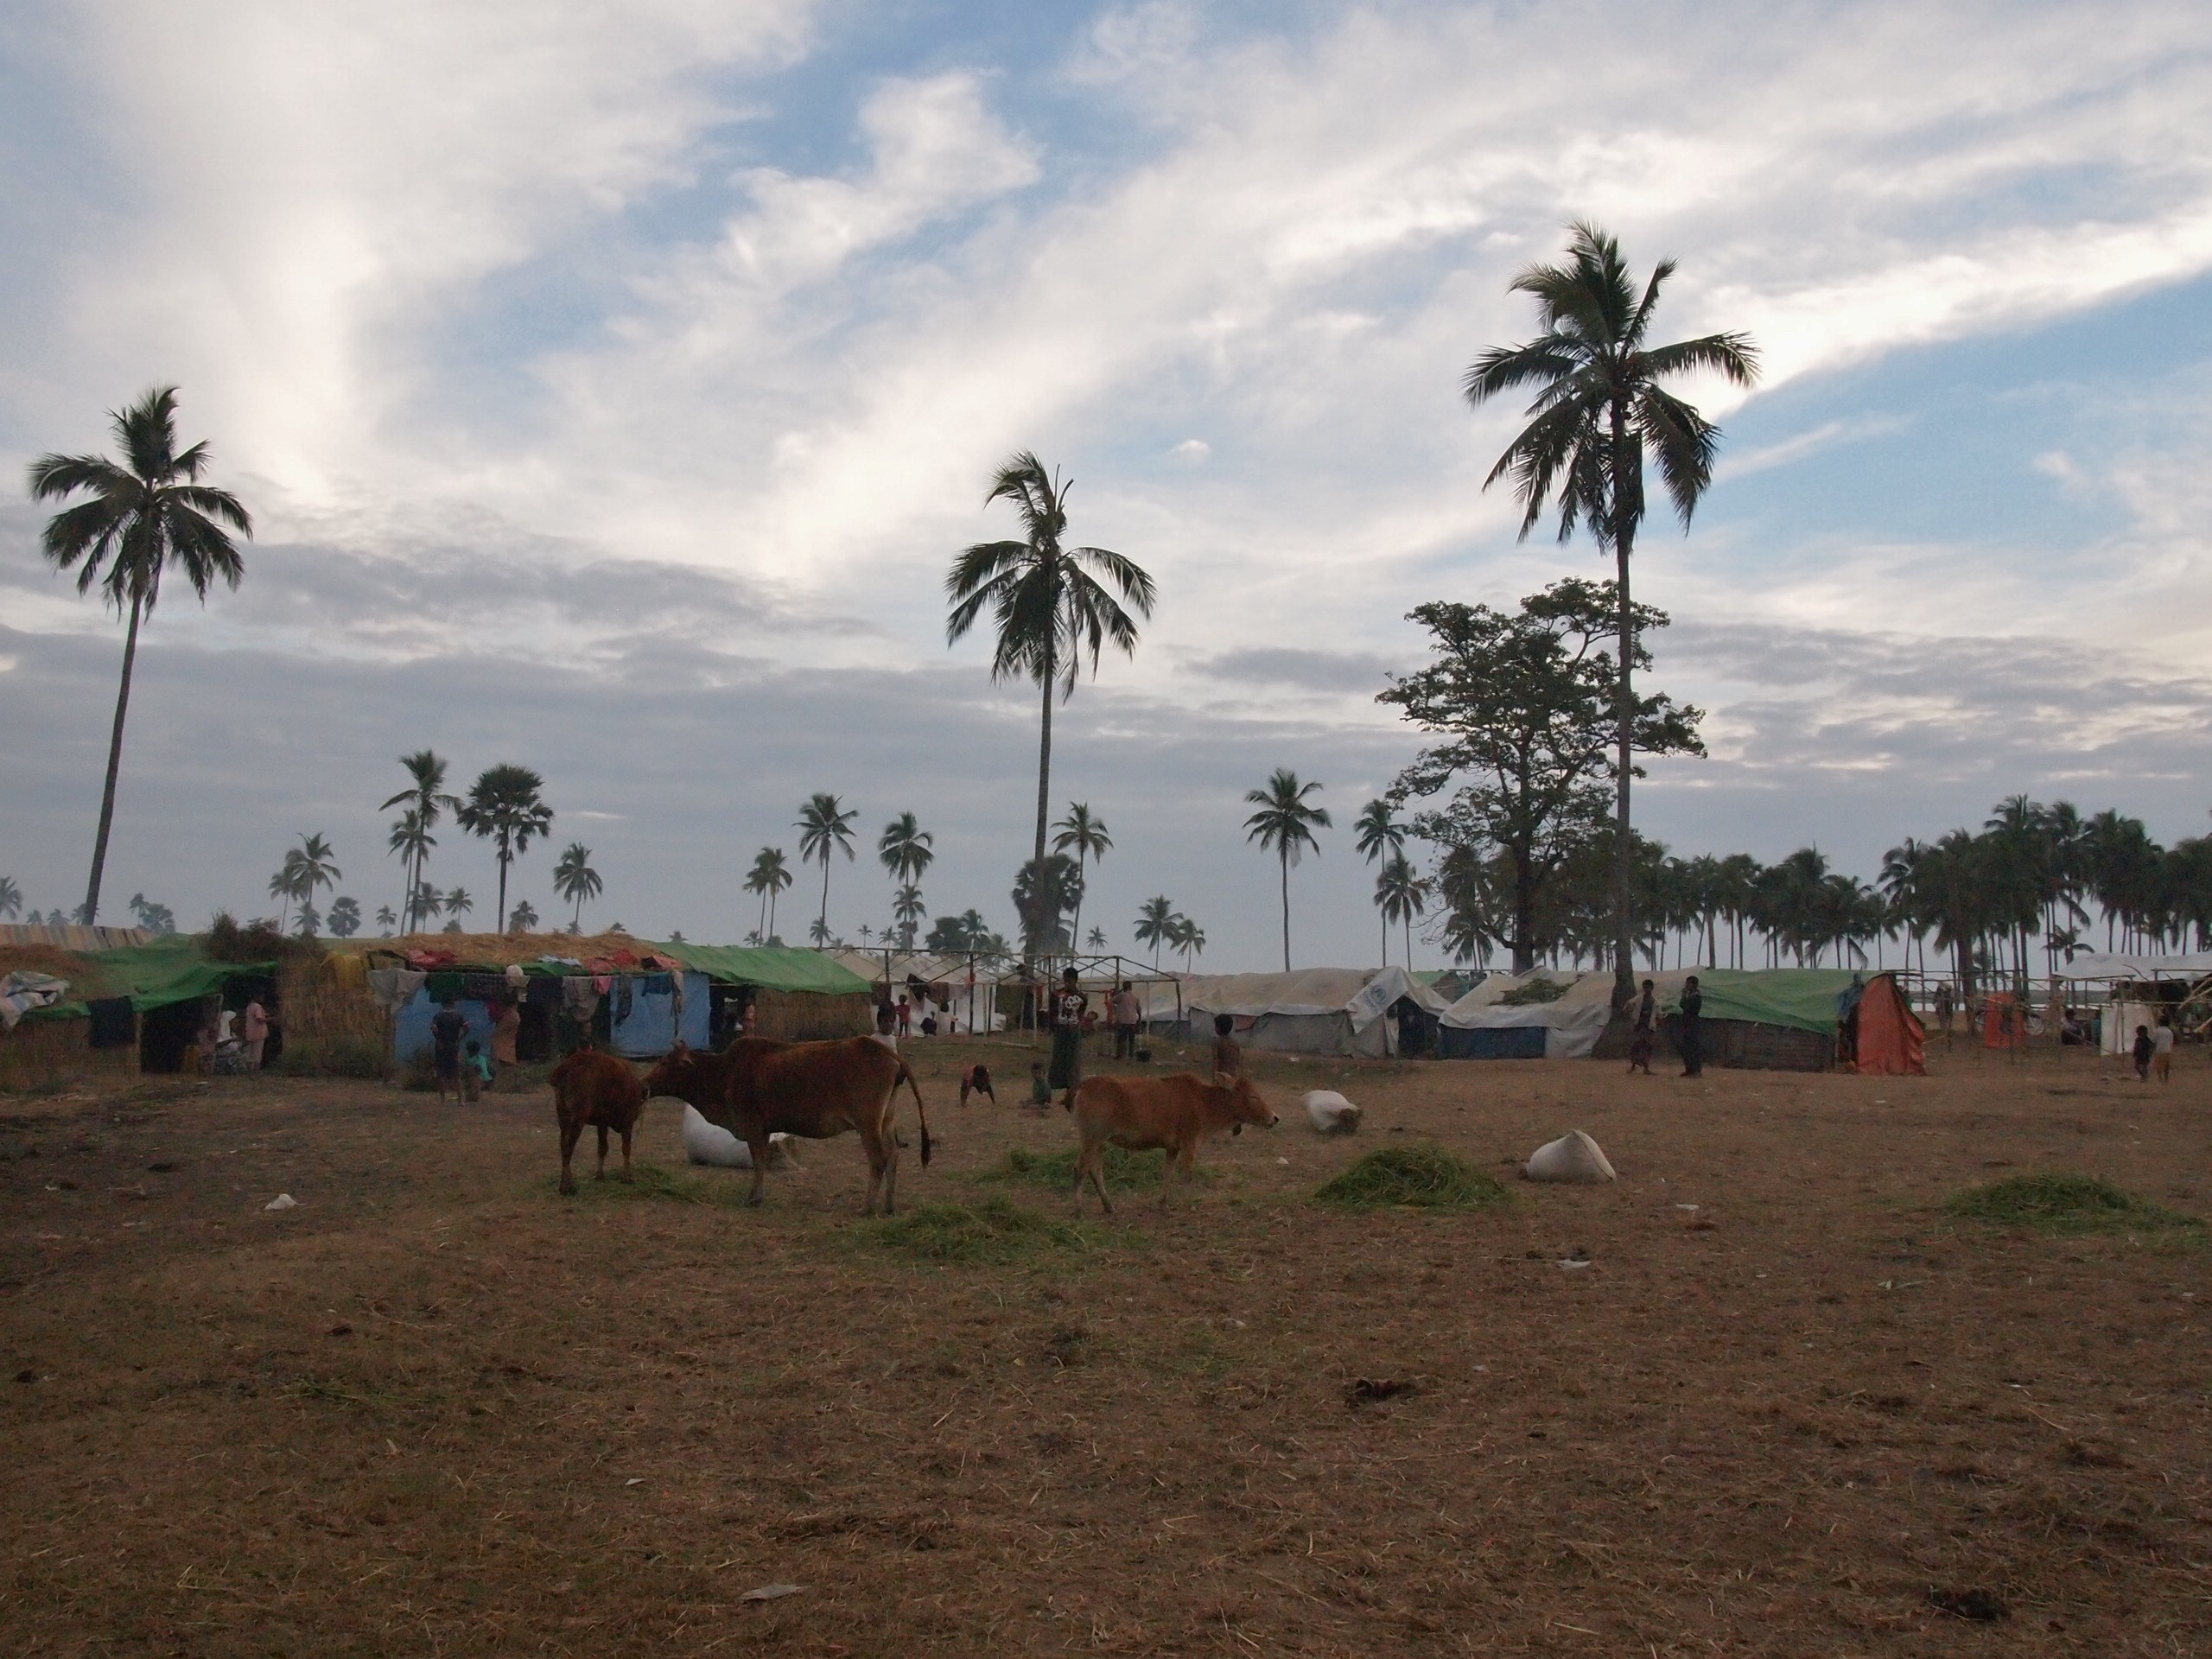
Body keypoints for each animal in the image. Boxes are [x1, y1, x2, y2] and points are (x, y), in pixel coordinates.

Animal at [550, 1047, 648, 1195]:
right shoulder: (627, 1121)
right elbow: (626, 1148)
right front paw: (627, 1177)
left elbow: (602, 1148)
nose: (638, 1114)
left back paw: (567, 1185)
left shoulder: (602, 1123)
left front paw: (599, 1175)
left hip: (563, 1115)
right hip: (578, 1119)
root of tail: (565, 1069)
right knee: (569, 1148)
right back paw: (567, 1187)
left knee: (564, 1146)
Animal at [641, 1036, 930, 1214]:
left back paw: (867, 1207)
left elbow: (758, 1163)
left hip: (867, 1123)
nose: (644, 1084)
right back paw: (889, 1206)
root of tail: (881, 1048)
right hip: (886, 1120)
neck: (723, 1072)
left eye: (665, 1063)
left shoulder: (754, 1125)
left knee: (879, 1160)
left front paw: (754, 1198)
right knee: (893, 1156)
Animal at [1067, 1071, 1277, 1215]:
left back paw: (1109, 1206)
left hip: (1098, 1141)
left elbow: (1168, 1173)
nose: (1274, 1118)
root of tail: (1081, 1088)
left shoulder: (1172, 1147)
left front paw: (1162, 1203)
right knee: (1080, 1169)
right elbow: (1187, 1174)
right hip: (1092, 1137)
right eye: (1253, 1096)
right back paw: (1078, 1210)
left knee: (1095, 1171)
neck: (1205, 1102)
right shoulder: (1189, 1141)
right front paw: (1190, 1205)